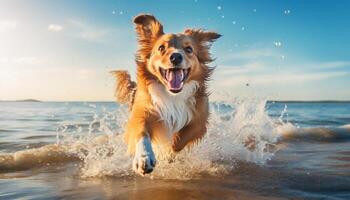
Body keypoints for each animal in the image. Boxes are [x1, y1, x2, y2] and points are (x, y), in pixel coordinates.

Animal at [113, 13, 220, 175]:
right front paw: (144, 158)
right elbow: (142, 133)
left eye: (189, 49)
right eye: (161, 48)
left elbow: (179, 140)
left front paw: (168, 152)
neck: (173, 96)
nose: (176, 57)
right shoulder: (142, 112)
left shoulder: (200, 119)